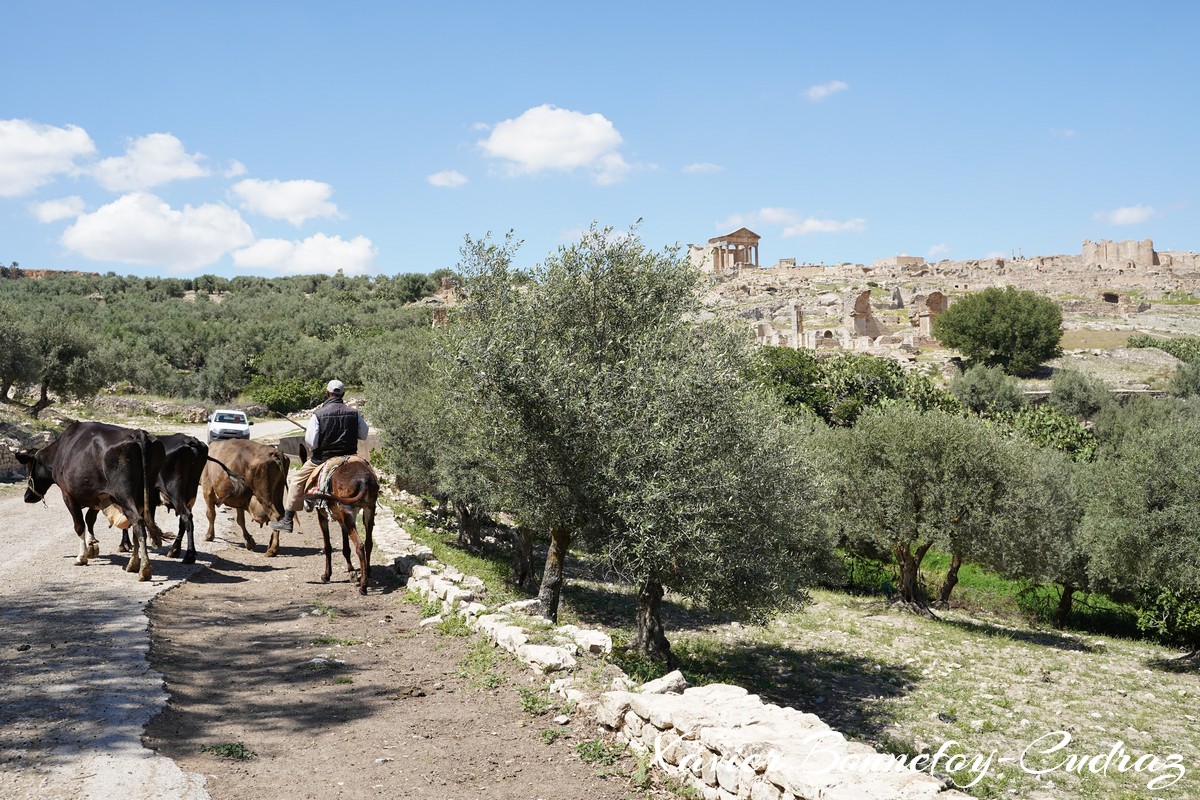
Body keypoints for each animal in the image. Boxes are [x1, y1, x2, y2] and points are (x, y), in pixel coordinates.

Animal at [16, 419, 165, 582]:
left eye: (28, 469)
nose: (27, 497)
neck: (59, 452)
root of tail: (138, 433)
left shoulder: (68, 495)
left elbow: (79, 525)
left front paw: (81, 557)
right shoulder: (98, 495)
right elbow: (90, 519)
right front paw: (92, 545)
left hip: (124, 494)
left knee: (137, 522)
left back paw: (143, 568)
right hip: (144, 493)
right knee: (139, 523)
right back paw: (133, 564)